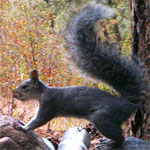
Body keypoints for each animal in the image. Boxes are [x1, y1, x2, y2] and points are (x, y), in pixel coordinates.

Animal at [12, 2, 149, 149]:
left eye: (24, 86)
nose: (14, 94)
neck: (42, 93)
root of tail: (126, 104)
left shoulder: (48, 105)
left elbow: (38, 121)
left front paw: (23, 128)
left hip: (102, 118)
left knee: (120, 136)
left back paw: (109, 144)